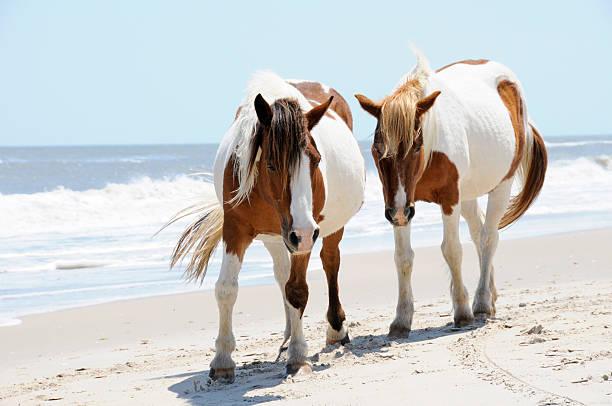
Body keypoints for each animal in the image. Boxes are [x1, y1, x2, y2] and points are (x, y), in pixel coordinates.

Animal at [170, 72, 366, 380]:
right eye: (272, 165)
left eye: (316, 161)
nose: (304, 233)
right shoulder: (236, 229)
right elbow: (226, 288)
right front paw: (222, 360)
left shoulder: (304, 235)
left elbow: (297, 290)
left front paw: (298, 356)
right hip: (277, 238)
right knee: (281, 274)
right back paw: (287, 335)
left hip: (327, 229)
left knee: (330, 262)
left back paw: (335, 329)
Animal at [356, 44, 548, 336]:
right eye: (378, 149)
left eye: (416, 146)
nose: (397, 213)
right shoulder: (401, 204)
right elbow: (403, 257)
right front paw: (401, 319)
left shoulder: (448, 200)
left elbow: (452, 250)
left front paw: (462, 310)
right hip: (466, 195)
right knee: (478, 232)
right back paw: (490, 295)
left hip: (500, 186)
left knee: (488, 237)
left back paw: (481, 303)